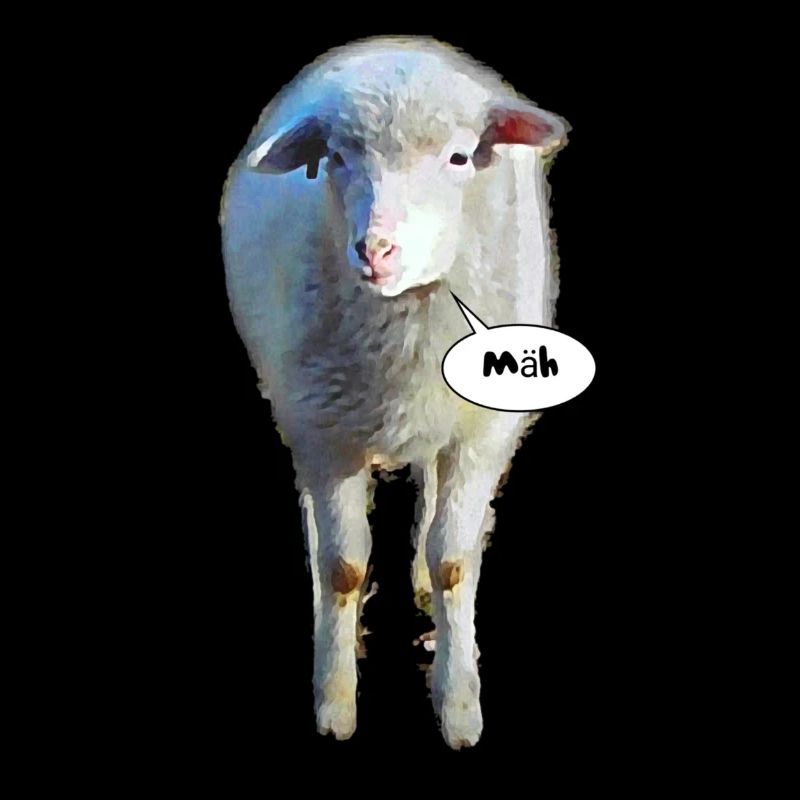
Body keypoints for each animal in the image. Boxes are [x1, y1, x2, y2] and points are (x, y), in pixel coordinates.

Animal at [219, 35, 569, 748]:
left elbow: (453, 560)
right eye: (335, 158)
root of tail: (394, 45)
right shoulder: (325, 433)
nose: (375, 250)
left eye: (460, 157)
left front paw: (459, 706)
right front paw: (335, 703)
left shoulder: (482, 431)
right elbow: (344, 566)